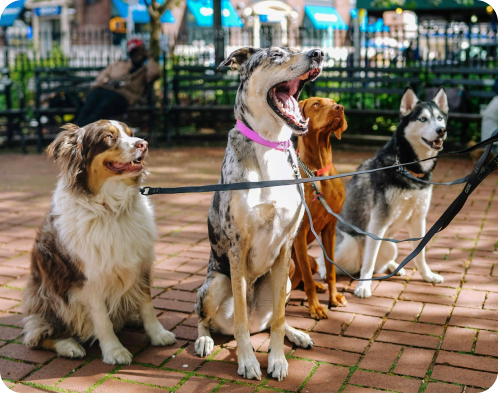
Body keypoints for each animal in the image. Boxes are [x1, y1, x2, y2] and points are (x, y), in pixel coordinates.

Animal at [193, 46, 324, 380]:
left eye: (297, 47)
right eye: (276, 54)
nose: (318, 53)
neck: (270, 145)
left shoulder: (286, 246)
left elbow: (278, 319)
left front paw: (277, 360)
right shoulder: (238, 247)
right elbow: (239, 318)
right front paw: (248, 361)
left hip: (287, 280)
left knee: (270, 319)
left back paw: (296, 334)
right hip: (215, 284)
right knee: (204, 318)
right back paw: (204, 340)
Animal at [290, 97, 348, 318]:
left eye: (334, 102)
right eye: (316, 104)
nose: (340, 108)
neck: (318, 173)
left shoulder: (330, 228)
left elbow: (330, 271)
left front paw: (334, 298)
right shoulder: (299, 233)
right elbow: (307, 279)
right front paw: (315, 307)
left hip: (313, 260)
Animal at [320, 87, 450, 298]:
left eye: (439, 118)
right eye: (422, 119)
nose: (441, 130)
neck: (407, 167)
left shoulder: (418, 217)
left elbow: (420, 253)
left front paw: (427, 275)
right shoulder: (378, 220)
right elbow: (370, 259)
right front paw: (363, 286)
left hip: (390, 245)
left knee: (377, 263)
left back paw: (392, 266)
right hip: (348, 244)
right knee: (328, 260)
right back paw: (327, 271)